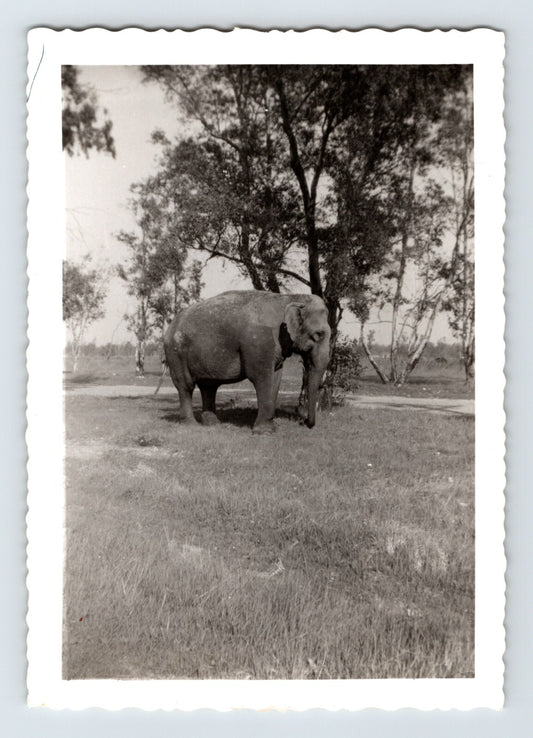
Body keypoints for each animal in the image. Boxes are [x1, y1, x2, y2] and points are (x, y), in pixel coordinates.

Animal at [163, 290, 331, 433]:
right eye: (318, 335)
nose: (304, 422)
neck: (288, 298)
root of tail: (170, 326)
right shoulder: (259, 342)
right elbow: (261, 377)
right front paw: (265, 432)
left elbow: (276, 378)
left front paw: (272, 427)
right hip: (176, 353)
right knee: (186, 385)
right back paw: (191, 425)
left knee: (208, 386)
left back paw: (213, 423)